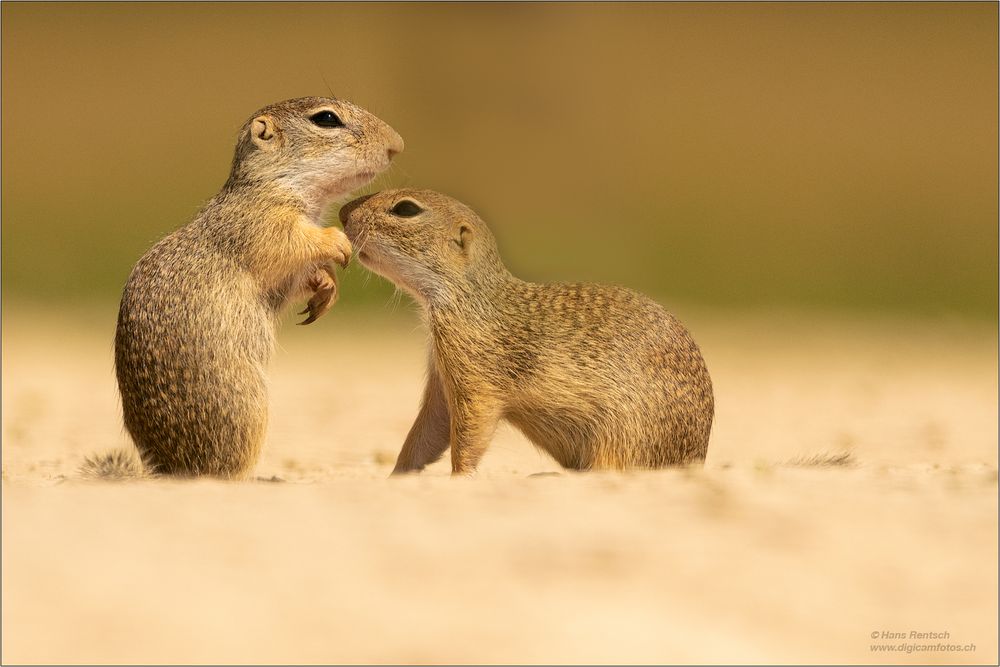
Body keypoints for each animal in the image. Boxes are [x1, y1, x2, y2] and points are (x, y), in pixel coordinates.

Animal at [102, 96, 402, 478]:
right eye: (326, 119)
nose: (397, 144)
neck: (273, 184)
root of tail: (170, 468)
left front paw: (325, 287)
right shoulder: (264, 224)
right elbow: (293, 242)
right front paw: (338, 242)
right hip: (251, 408)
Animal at [340, 188, 716, 474]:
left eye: (405, 209)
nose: (343, 212)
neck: (471, 298)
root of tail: (694, 458)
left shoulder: (474, 373)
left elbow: (471, 428)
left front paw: (460, 475)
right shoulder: (442, 372)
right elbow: (429, 428)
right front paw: (398, 474)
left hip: (620, 435)